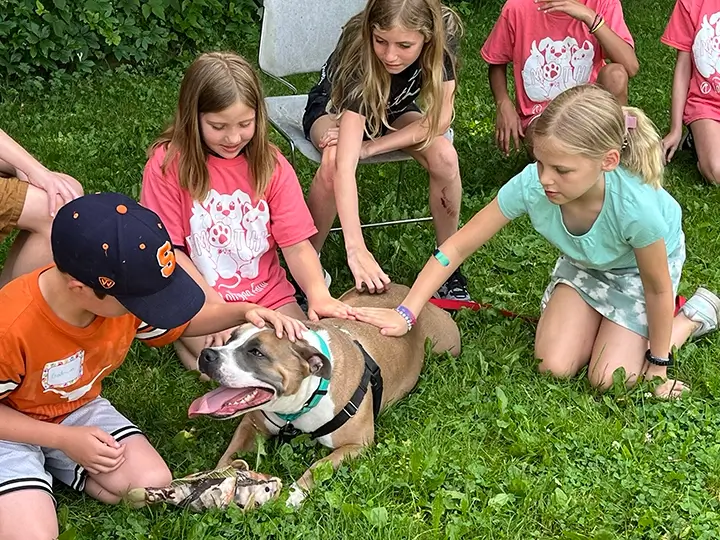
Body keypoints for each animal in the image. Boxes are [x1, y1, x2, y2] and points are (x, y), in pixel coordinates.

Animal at [187, 283, 461, 507]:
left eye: (257, 352)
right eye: (230, 338)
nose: (207, 355)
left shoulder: (357, 444)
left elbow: (318, 466)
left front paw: (295, 493)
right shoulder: (251, 425)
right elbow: (229, 456)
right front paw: (212, 481)